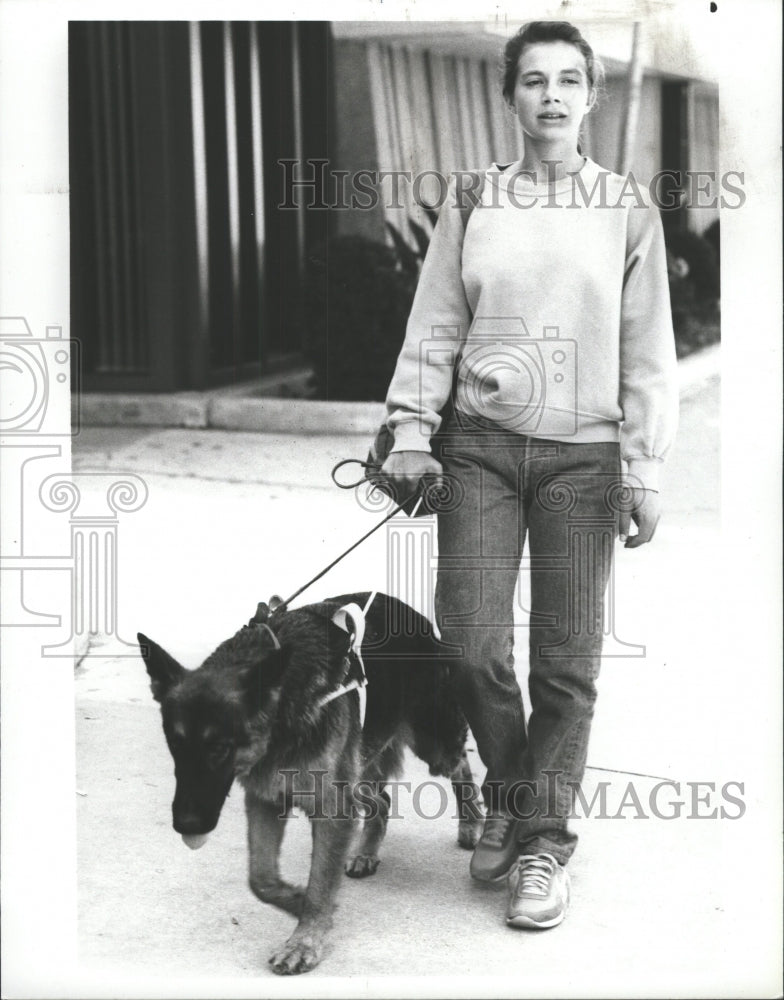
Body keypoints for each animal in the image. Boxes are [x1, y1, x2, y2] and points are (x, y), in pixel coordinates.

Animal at [140, 592, 484, 976]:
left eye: (219, 748)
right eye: (175, 744)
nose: (186, 826)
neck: (282, 706)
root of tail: (413, 616)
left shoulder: (332, 810)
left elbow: (320, 882)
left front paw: (305, 940)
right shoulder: (266, 800)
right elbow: (260, 879)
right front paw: (298, 901)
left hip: (432, 746)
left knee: (461, 767)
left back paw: (471, 825)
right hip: (360, 765)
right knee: (381, 802)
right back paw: (366, 853)